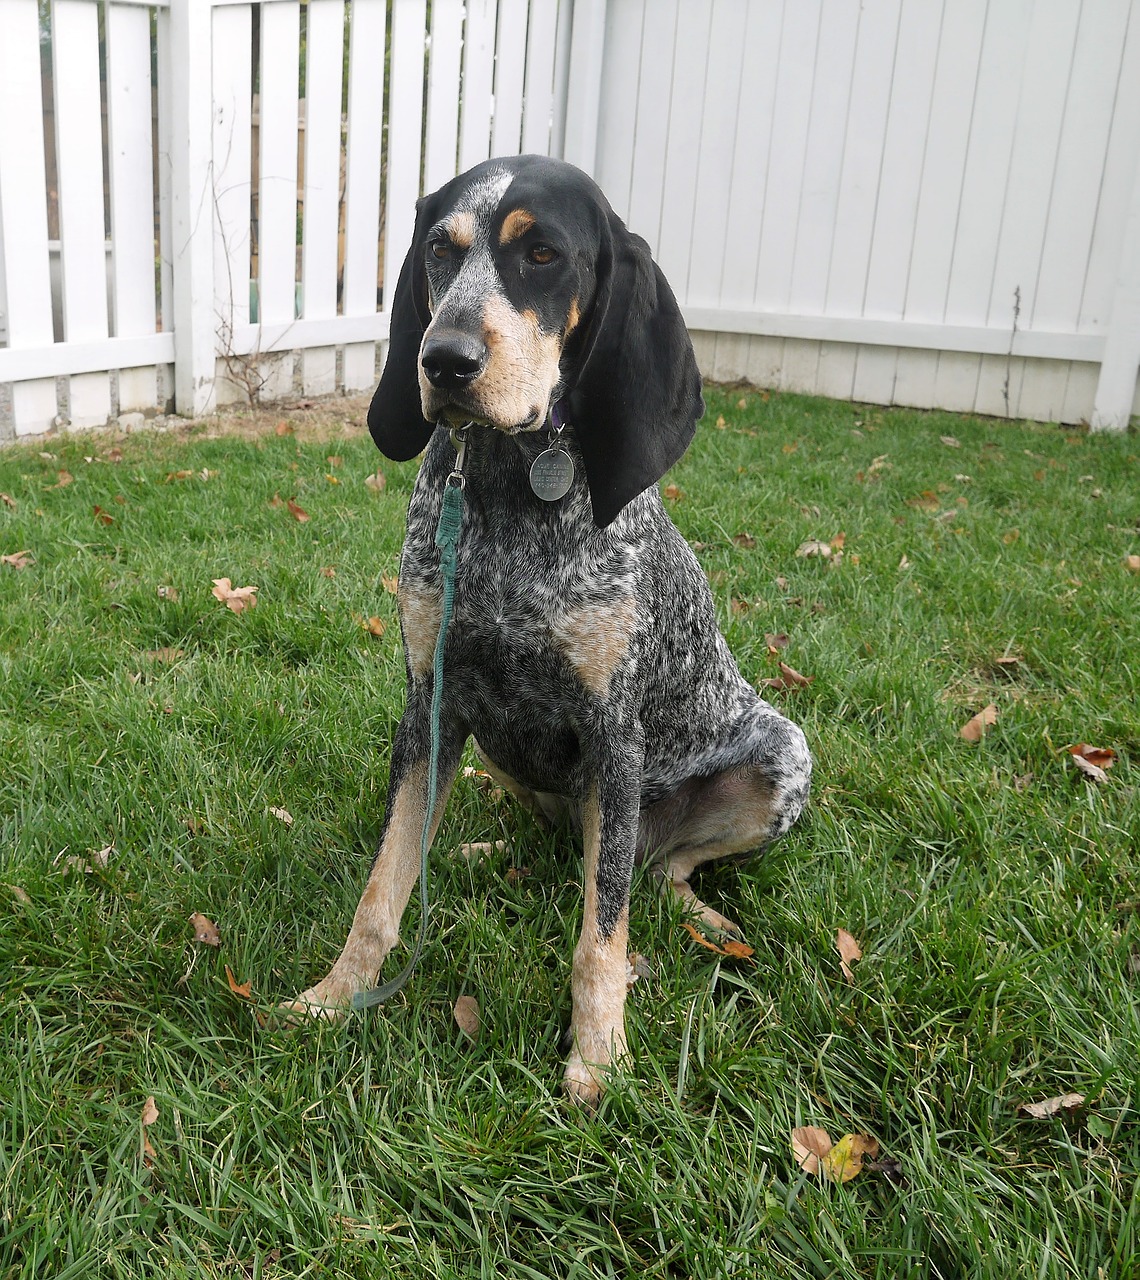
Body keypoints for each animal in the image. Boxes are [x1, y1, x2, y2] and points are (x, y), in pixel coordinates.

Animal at [289, 157, 813, 1100]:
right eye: (439, 250)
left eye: (542, 255)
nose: (442, 360)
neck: (505, 484)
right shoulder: (429, 705)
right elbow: (382, 890)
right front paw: (335, 997)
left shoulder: (614, 733)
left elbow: (599, 941)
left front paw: (598, 1058)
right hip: (503, 755)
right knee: (557, 841)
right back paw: (481, 847)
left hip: (780, 757)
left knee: (649, 871)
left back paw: (698, 915)